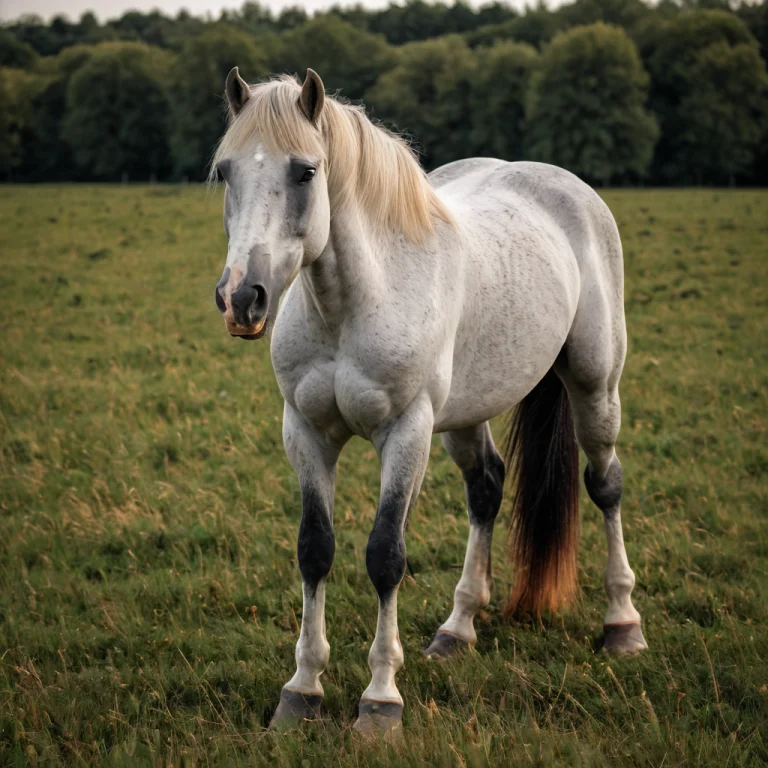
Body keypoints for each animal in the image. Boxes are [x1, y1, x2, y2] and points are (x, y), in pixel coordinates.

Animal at [210, 67, 647, 736]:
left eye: (306, 171)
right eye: (226, 170)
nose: (241, 298)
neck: (355, 303)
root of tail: (564, 186)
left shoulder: (406, 431)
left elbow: (385, 554)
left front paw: (380, 701)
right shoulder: (305, 431)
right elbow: (315, 549)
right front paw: (302, 690)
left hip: (595, 385)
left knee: (606, 484)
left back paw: (622, 624)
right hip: (467, 412)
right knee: (486, 488)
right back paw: (457, 629)